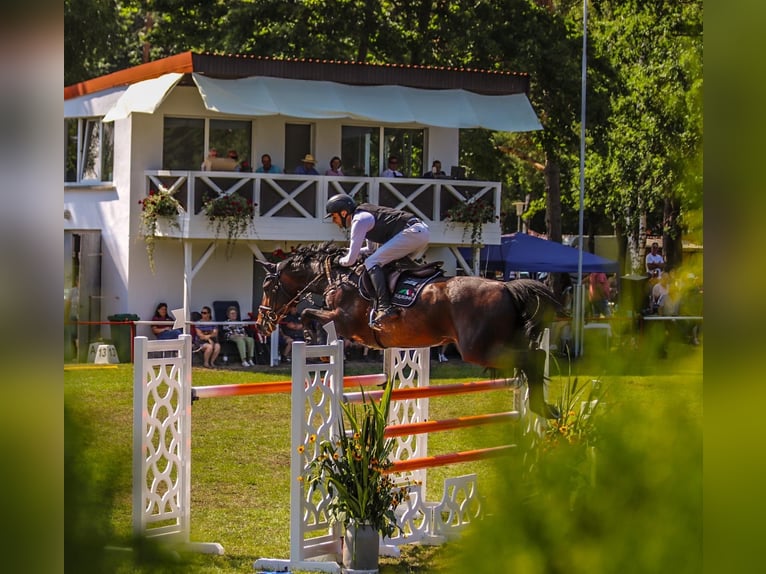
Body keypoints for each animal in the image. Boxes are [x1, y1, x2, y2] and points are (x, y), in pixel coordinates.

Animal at [258, 243, 564, 418]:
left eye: (267, 286)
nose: (263, 324)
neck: (340, 277)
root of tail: (506, 287)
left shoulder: (344, 321)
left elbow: (308, 314)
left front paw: (315, 342)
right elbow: (309, 314)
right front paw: (317, 345)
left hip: (479, 349)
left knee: (533, 357)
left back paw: (541, 408)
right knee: (535, 355)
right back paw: (545, 409)